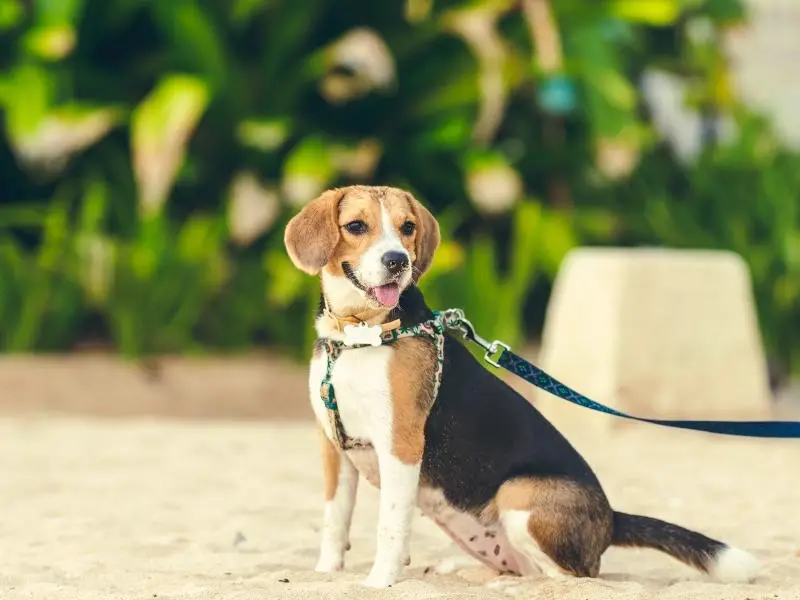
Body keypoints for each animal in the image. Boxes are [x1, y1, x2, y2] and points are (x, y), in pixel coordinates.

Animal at [284, 185, 760, 588]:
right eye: (356, 227)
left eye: (407, 228)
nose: (397, 260)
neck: (358, 335)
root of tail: (610, 518)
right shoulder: (335, 448)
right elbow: (335, 520)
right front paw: (326, 572)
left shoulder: (400, 443)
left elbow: (390, 525)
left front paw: (380, 583)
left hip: (519, 492)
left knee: (574, 577)